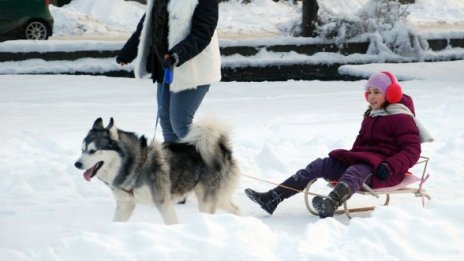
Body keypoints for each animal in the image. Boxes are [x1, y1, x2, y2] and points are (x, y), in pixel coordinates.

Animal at [74, 117, 241, 223]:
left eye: (93, 151)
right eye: (82, 150)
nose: (77, 164)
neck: (136, 164)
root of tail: (223, 149)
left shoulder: (163, 202)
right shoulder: (125, 205)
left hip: (207, 202)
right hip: (218, 199)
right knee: (236, 209)